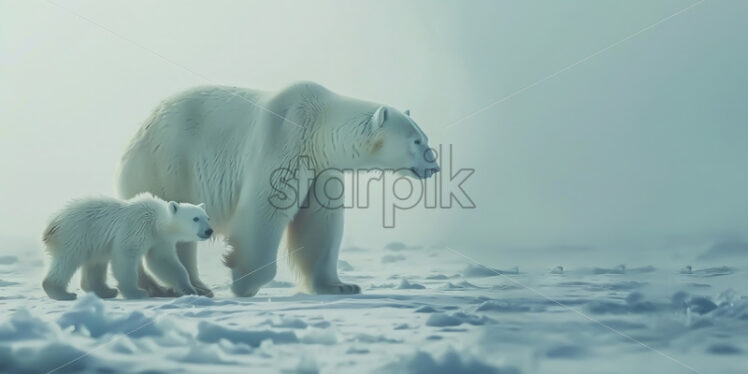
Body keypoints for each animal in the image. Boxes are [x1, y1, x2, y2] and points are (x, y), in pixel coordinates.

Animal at [118, 82, 438, 298]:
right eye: (417, 141)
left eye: (423, 136)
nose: (434, 166)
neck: (318, 126)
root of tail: (140, 128)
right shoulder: (284, 140)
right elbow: (264, 209)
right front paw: (244, 280)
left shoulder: (321, 168)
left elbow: (320, 225)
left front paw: (342, 285)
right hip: (166, 164)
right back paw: (165, 287)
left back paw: (193, 286)